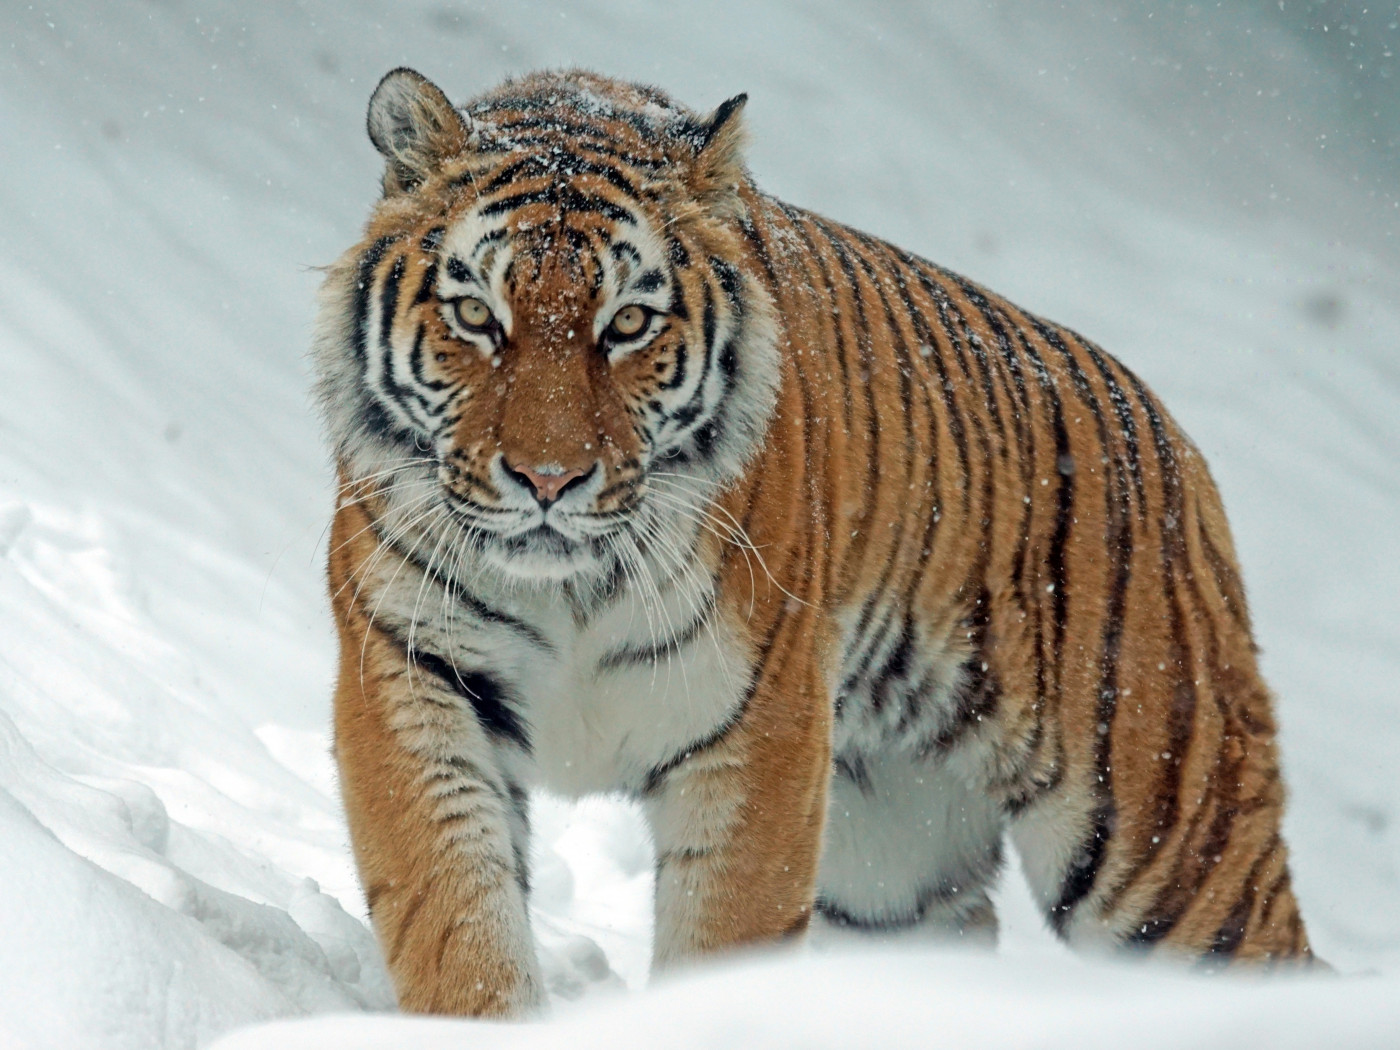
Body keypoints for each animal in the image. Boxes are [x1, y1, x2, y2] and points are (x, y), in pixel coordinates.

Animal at [314, 66, 1316, 1016]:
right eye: (477, 316)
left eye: (628, 323)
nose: (550, 480)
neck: (570, 588)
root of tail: (1176, 442)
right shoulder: (412, 676)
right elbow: (456, 919)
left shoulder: (761, 732)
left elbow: (722, 941)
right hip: (893, 870)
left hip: (1168, 842)